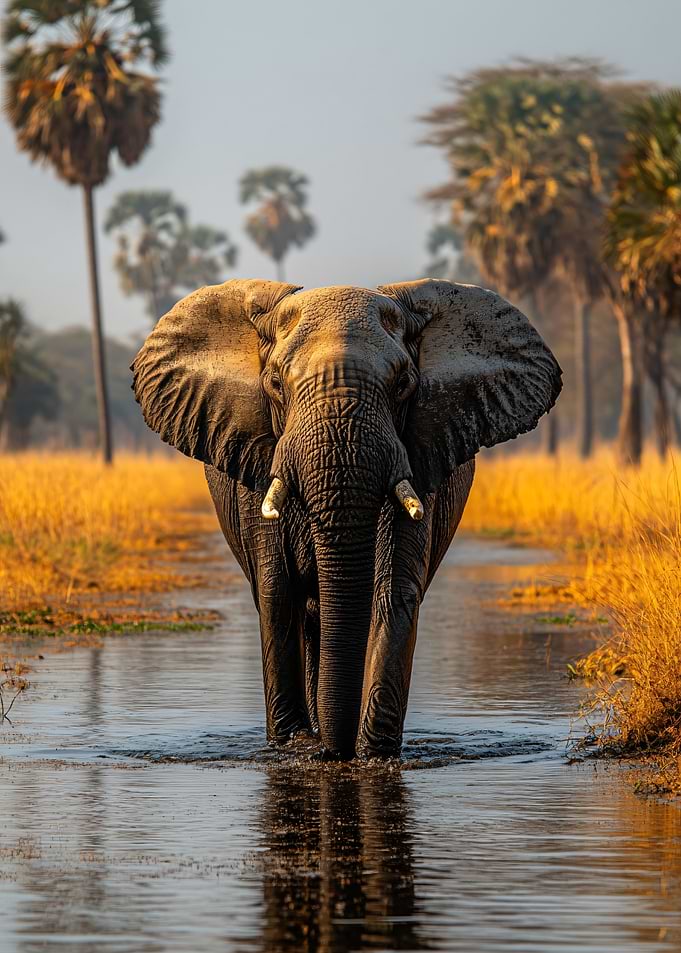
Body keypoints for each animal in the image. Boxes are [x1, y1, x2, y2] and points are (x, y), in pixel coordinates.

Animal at [132, 278, 561, 759]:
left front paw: (371, 753)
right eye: (275, 383)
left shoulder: (420, 454)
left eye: (403, 385)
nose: (332, 752)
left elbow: (392, 591)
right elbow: (277, 592)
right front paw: (295, 747)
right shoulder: (254, 458)